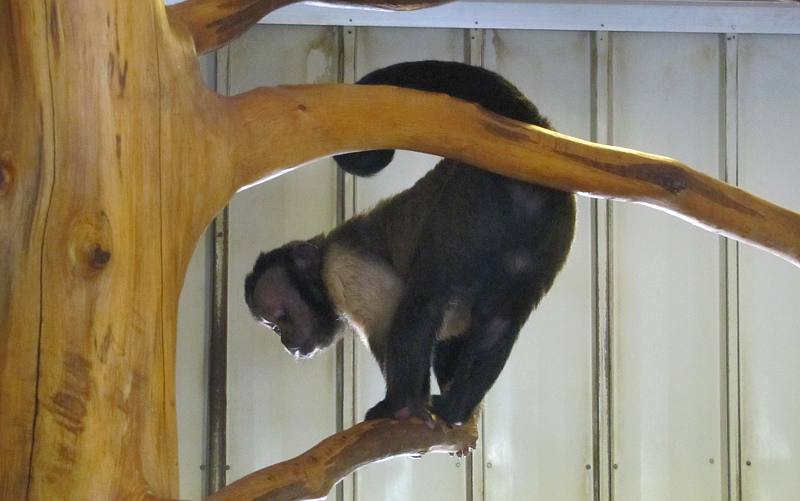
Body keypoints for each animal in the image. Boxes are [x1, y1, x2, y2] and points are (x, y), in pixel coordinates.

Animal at [244, 59, 576, 426]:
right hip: (552, 225)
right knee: (501, 321)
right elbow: (451, 338)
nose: (288, 345)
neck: (323, 261)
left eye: (281, 318)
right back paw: (458, 406)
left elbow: (392, 312)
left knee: (425, 296)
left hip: (471, 201)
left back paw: (400, 404)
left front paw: (407, 403)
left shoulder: (342, 268)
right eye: (274, 327)